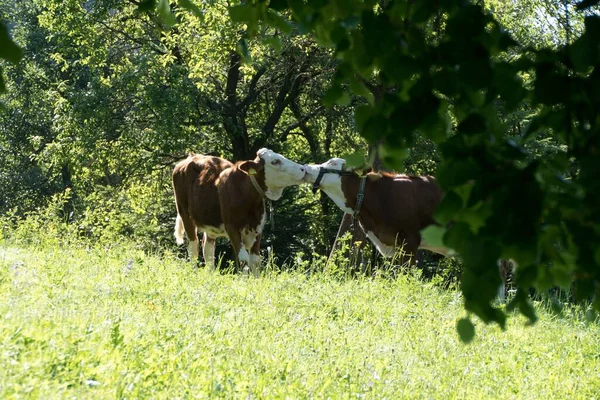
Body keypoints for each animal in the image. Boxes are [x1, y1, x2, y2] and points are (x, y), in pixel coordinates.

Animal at [172, 148, 304, 276]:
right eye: (275, 162)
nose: (302, 169)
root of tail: (192, 155)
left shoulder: (258, 228)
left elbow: (255, 261)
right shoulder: (232, 227)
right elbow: (243, 259)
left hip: (210, 221)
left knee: (208, 249)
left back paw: (210, 275)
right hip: (184, 213)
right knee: (193, 247)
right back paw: (194, 273)